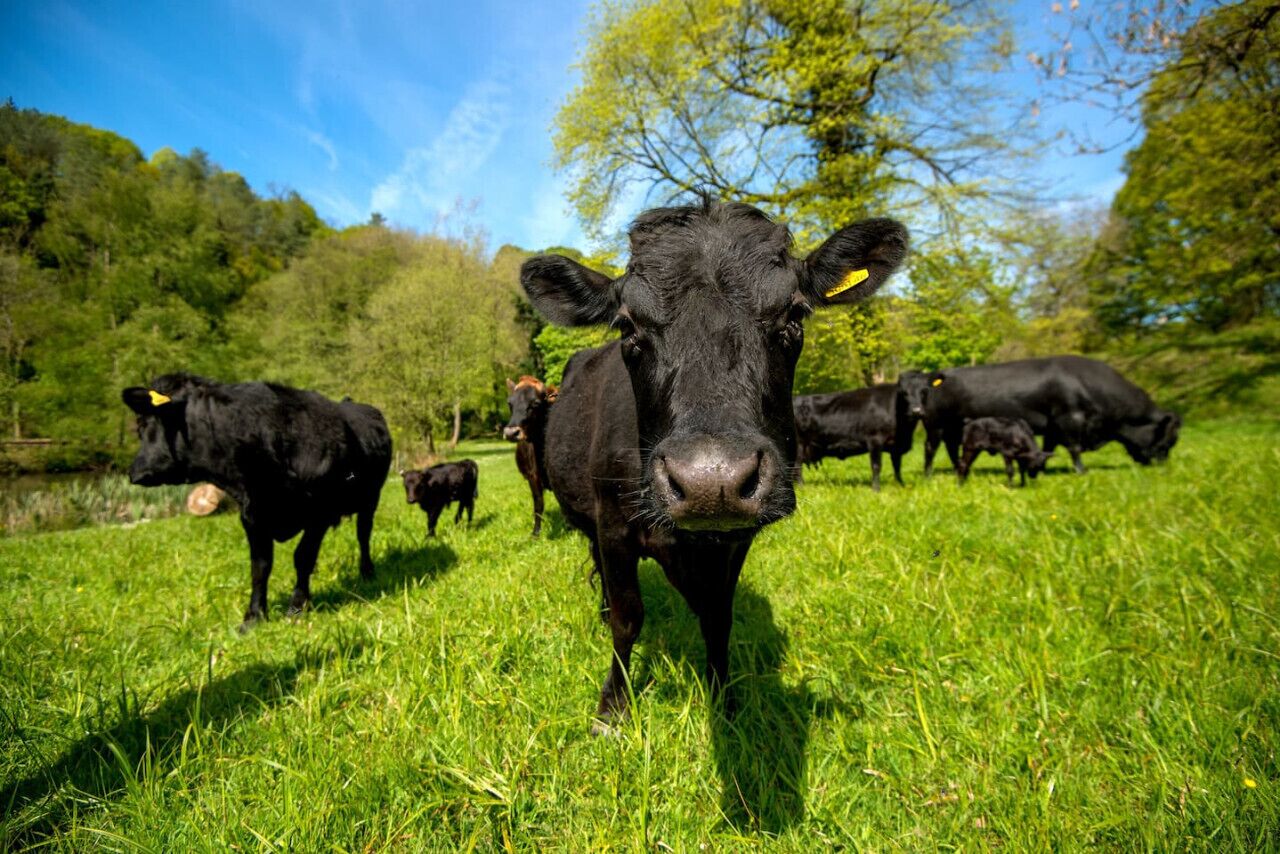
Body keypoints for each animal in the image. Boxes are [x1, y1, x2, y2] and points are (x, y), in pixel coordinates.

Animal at [121, 375, 391, 630]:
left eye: (142, 425)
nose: (134, 473)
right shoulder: (253, 515)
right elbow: (260, 567)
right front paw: (254, 617)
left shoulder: (319, 514)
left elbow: (302, 557)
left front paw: (297, 607)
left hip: (371, 499)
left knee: (363, 535)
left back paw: (367, 572)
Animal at [503, 376, 555, 536]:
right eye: (510, 403)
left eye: (536, 403)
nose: (511, 433)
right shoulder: (532, 476)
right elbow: (538, 504)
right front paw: (536, 532)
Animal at [521, 199, 908, 730]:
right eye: (627, 326)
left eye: (794, 314)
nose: (712, 480)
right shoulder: (614, 524)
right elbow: (627, 615)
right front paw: (613, 706)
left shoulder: (735, 540)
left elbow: (718, 617)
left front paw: (724, 699)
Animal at [898, 356, 1181, 476]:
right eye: (1168, 441)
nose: (1163, 464)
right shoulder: (1069, 418)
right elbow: (1074, 448)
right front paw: (1081, 471)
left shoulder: (1053, 425)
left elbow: (1050, 446)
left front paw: (1042, 468)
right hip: (935, 425)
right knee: (930, 448)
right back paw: (928, 474)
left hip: (954, 427)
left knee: (952, 448)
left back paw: (958, 468)